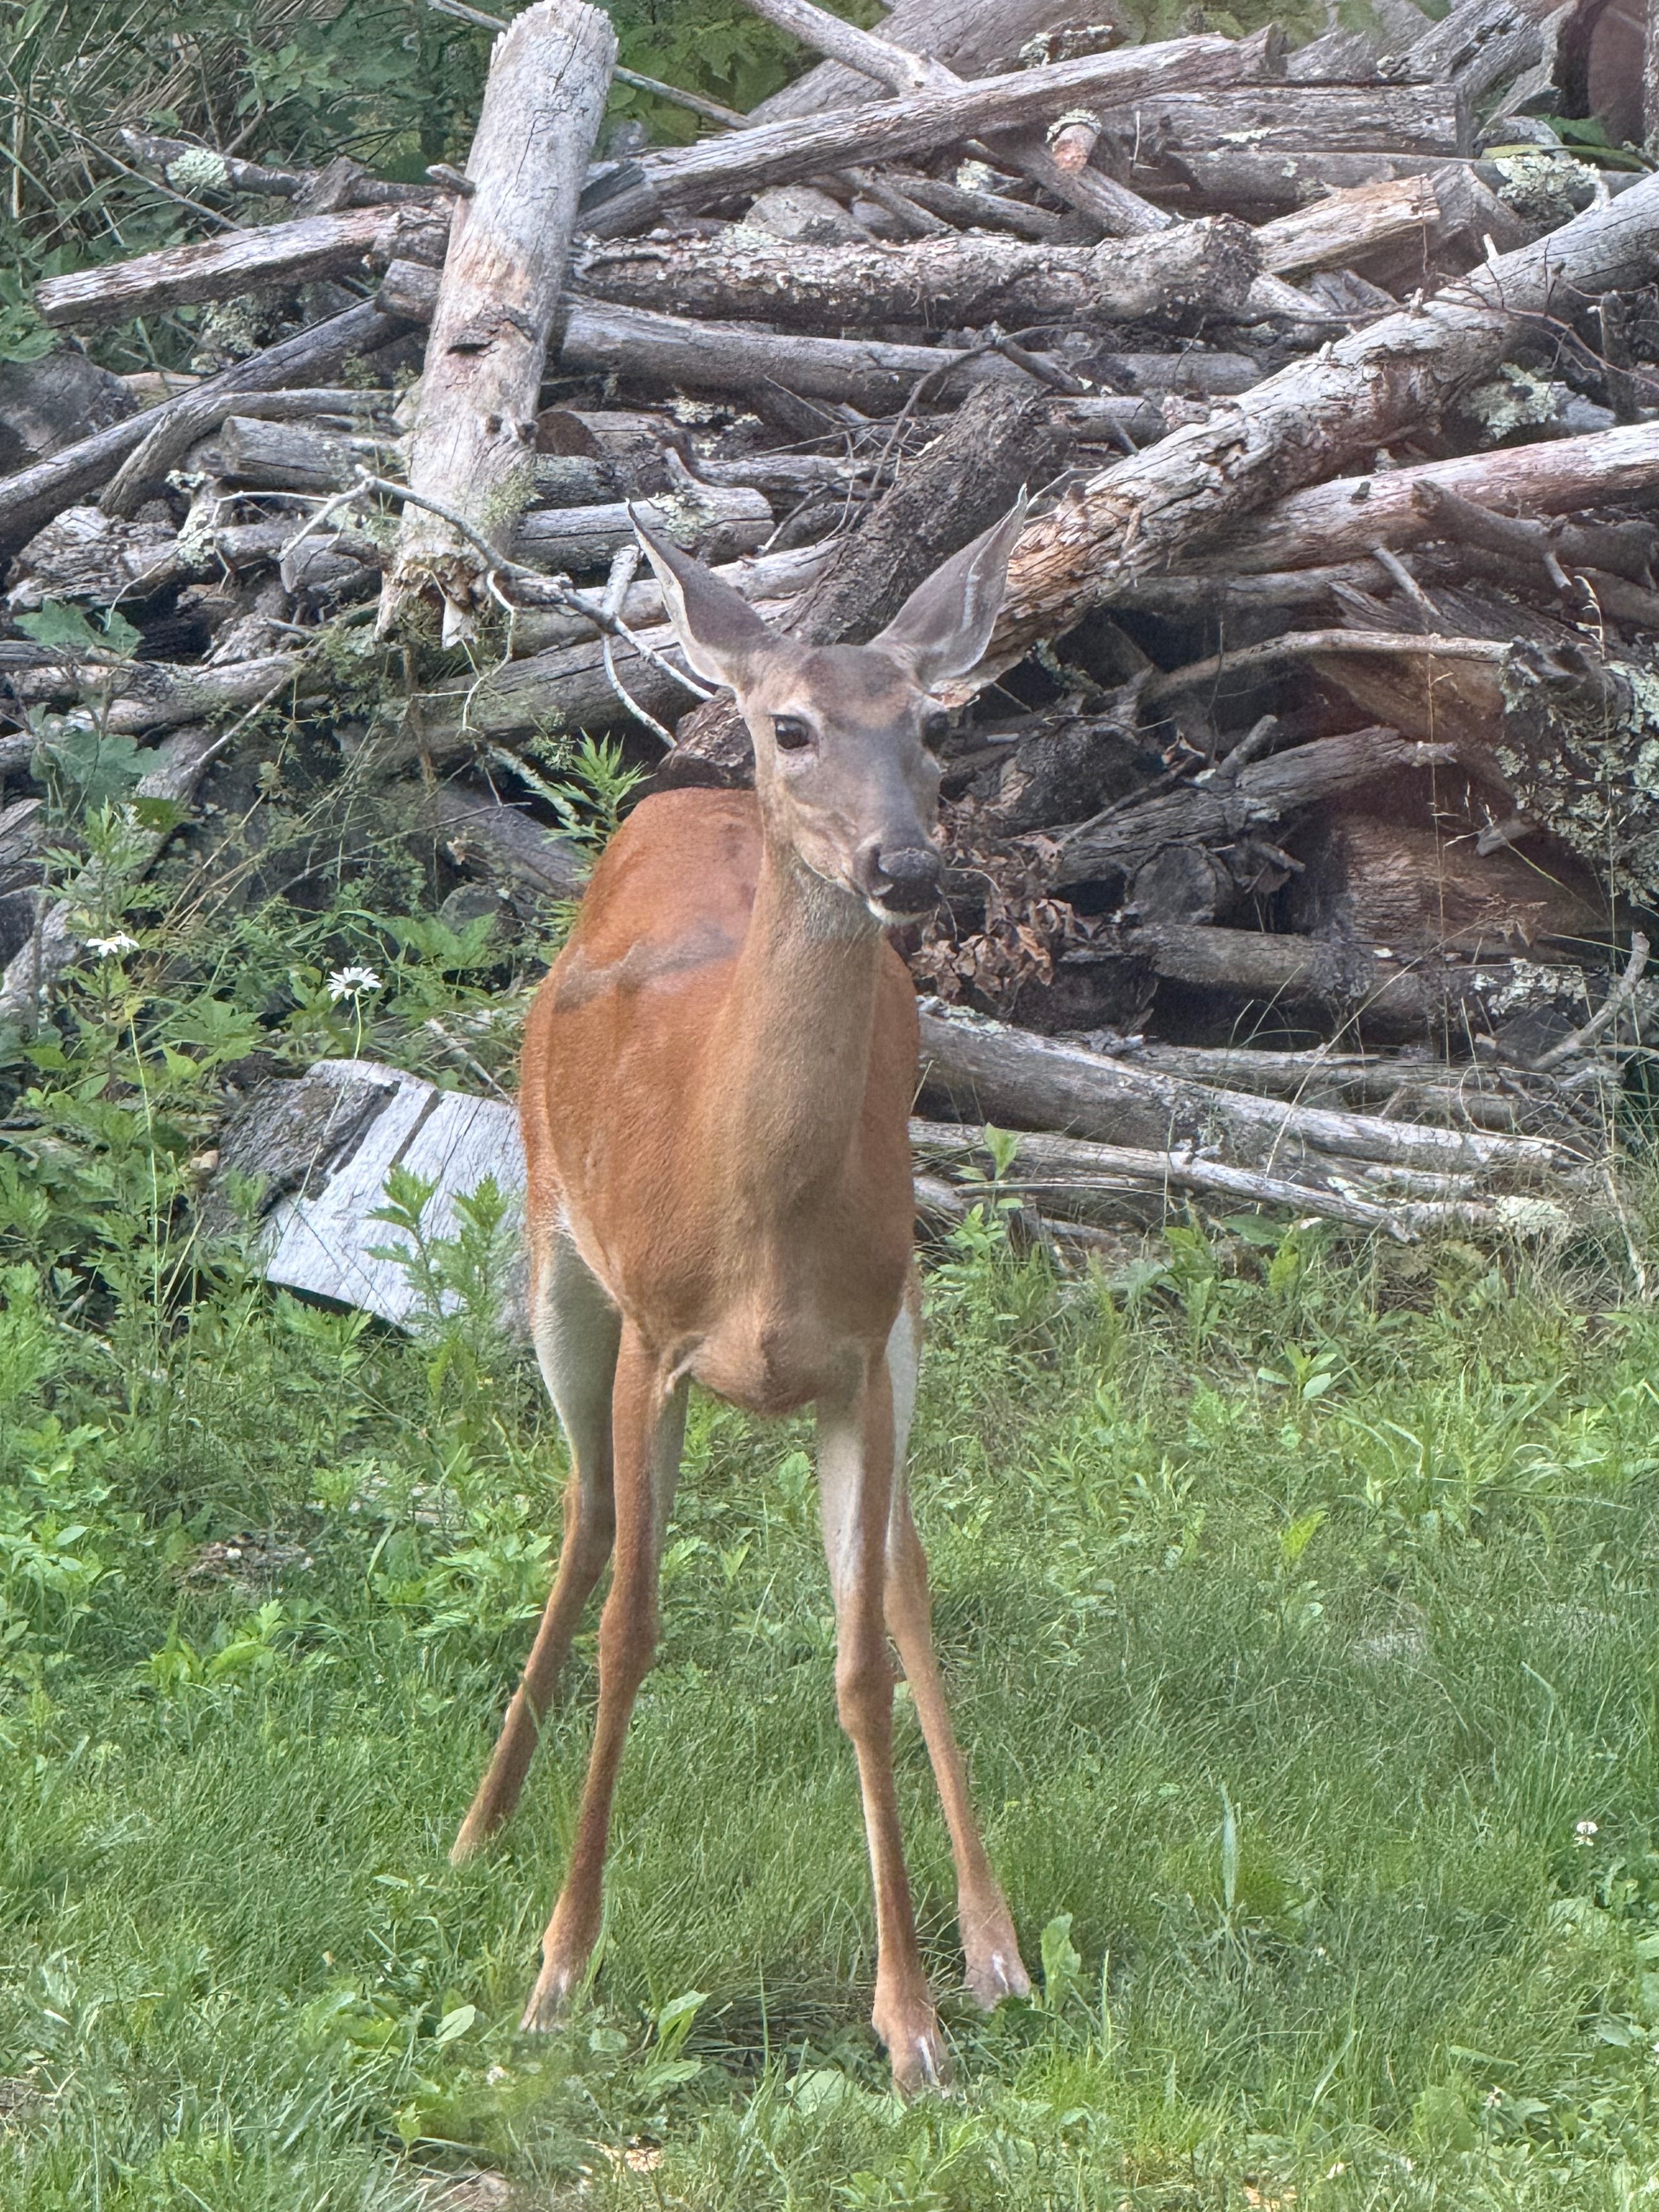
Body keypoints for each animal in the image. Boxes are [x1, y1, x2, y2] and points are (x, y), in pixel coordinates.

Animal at [448, 498, 1031, 2093]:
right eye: (793, 726)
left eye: (933, 730)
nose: (907, 866)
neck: (755, 1216)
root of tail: (675, 806)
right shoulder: (658, 1335)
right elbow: (631, 1633)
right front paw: (559, 1971)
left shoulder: (859, 1356)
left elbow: (862, 1656)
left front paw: (912, 2017)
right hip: (559, 1267)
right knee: (585, 1517)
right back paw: (478, 1829)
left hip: (911, 1324)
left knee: (905, 1571)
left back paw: (997, 1941)